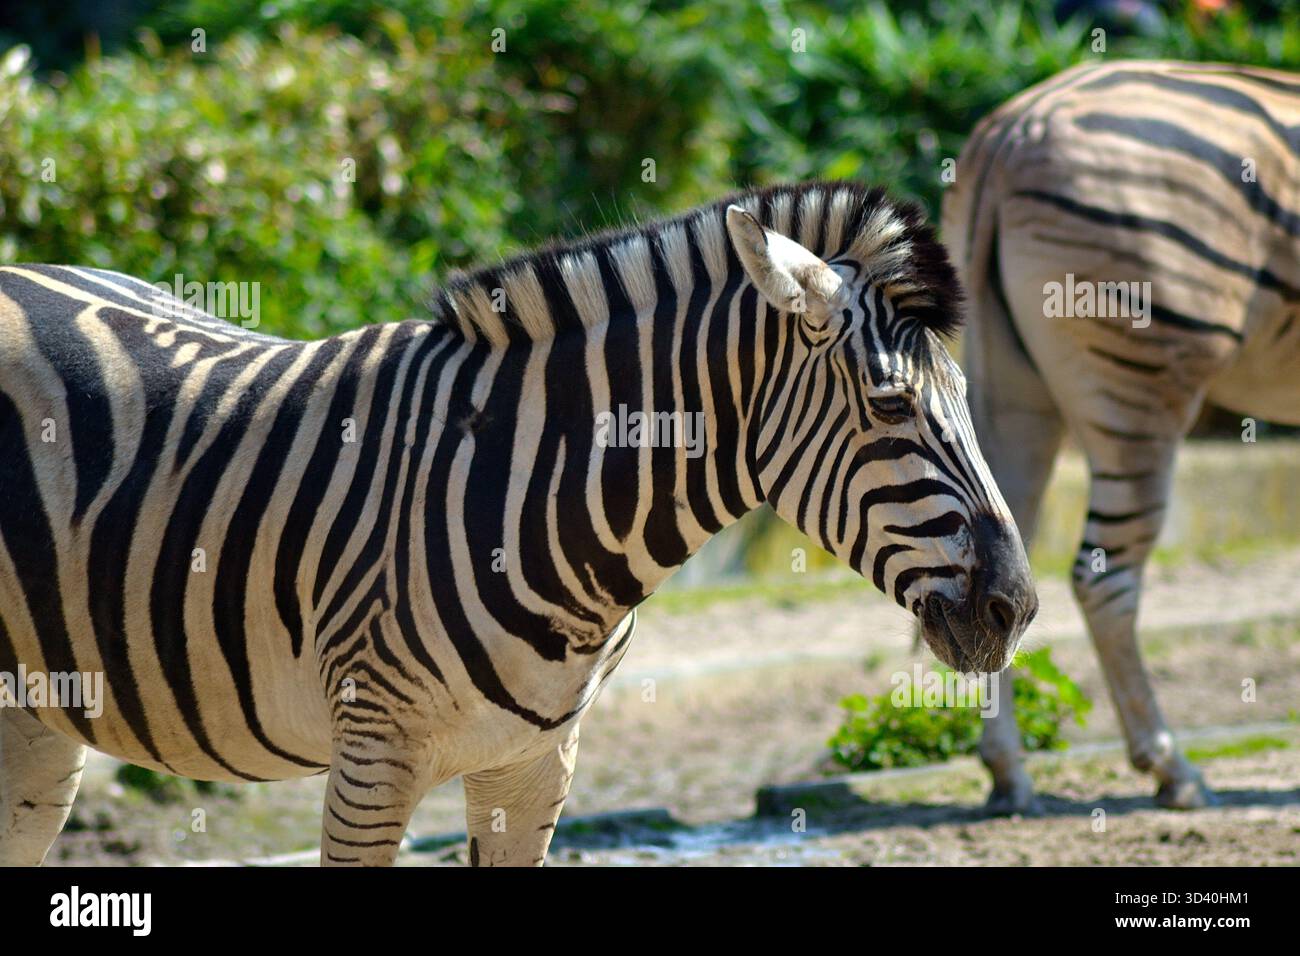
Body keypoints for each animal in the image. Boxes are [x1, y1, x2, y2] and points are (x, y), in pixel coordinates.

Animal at [0, 181, 1036, 866]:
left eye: (963, 393)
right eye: (891, 406)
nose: (1017, 610)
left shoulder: (534, 765)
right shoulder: (371, 757)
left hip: (37, 721)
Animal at [943, 60, 1300, 812]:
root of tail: (1017, 129)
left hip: (1012, 385)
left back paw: (1008, 773)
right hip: (1140, 382)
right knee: (1105, 579)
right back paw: (1172, 768)